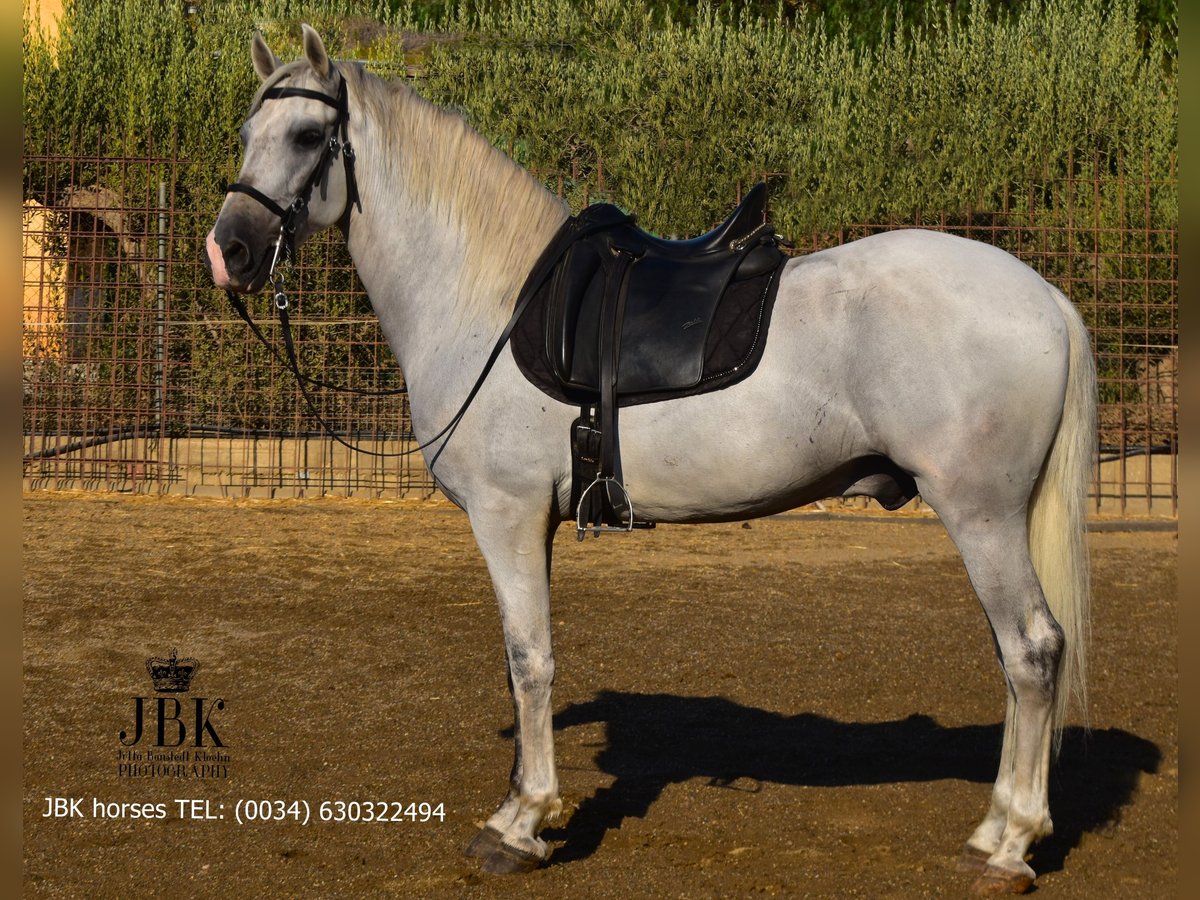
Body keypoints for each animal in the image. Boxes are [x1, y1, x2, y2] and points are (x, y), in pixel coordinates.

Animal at [207, 26, 1095, 894]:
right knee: (1016, 658)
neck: (491, 302)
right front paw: (523, 806)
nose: (230, 253)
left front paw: (520, 825)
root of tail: (1044, 298)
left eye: (310, 135)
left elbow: (529, 661)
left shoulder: (506, 513)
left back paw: (1008, 846)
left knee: (1033, 652)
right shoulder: (537, 522)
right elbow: (525, 658)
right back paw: (998, 828)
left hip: (981, 515)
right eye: (248, 134)